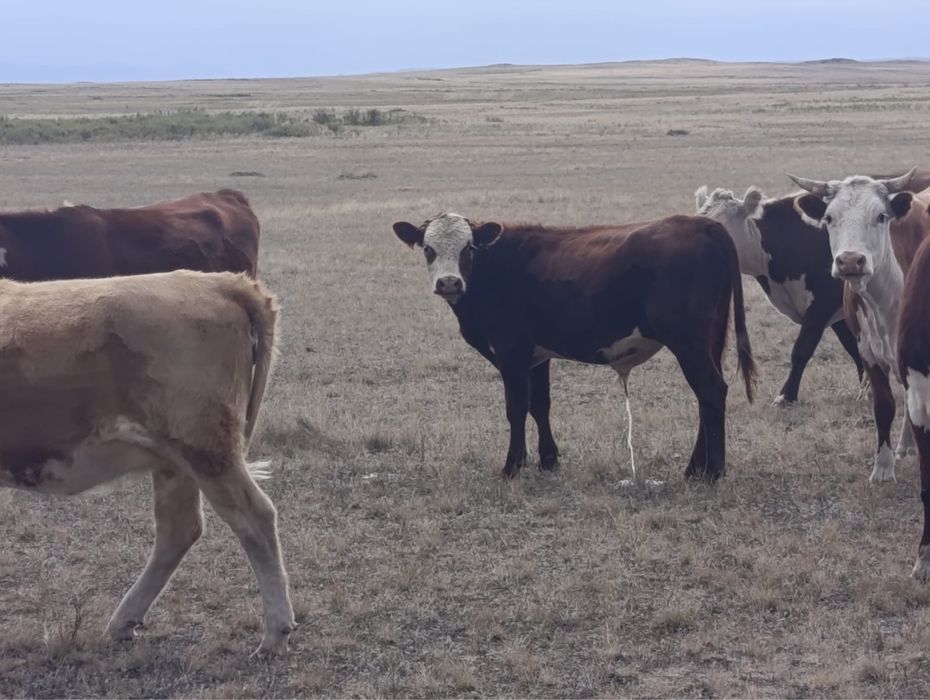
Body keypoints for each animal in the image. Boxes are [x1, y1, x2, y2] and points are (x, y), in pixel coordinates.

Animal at [0, 270, 294, 654]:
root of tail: (220, 282)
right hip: (175, 461)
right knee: (179, 529)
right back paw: (124, 621)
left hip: (206, 449)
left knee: (255, 518)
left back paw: (275, 632)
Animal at [392, 212, 756, 482]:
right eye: (428, 248)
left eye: (468, 247)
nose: (449, 282)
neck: (495, 267)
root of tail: (703, 224)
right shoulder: (537, 356)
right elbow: (540, 405)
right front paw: (548, 459)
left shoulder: (511, 352)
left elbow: (516, 407)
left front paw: (512, 466)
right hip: (710, 342)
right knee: (706, 400)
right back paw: (697, 467)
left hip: (688, 343)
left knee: (711, 391)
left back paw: (711, 471)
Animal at [695, 185, 863, 404]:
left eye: (720, 224)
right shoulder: (837, 311)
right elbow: (853, 346)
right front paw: (866, 389)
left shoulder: (823, 302)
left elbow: (802, 349)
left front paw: (786, 395)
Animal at [789, 168, 930, 483]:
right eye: (829, 217)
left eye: (881, 216)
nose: (851, 261)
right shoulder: (869, 353)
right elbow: (884, 406)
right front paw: (883, 466)